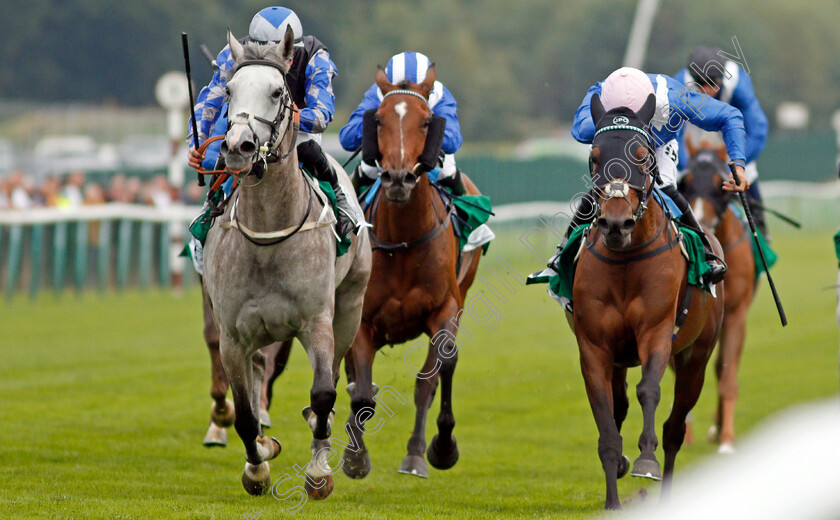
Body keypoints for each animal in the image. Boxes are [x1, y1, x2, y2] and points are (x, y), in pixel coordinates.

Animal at [200, 29, 370, 500]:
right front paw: (256, 466)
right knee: (259, 377)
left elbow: (324, 394)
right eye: (228, 90)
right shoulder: (234, 334)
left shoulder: (317, 321)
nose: (237, 147)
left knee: (333, 379)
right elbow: (243, 413)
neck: (268, 235)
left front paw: (318, 471)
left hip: (351, 306)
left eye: (278, 92)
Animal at [576, 93, 724, 508]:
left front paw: (645, 460)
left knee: (675, 427)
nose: (615, 223)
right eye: (594, 157)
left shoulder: (656, 332)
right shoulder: (594, 346)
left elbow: (649, 390)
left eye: (642, 156)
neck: (626, 261)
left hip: (696, 356)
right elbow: (606, 416)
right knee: (621, 403)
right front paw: (613, 495)